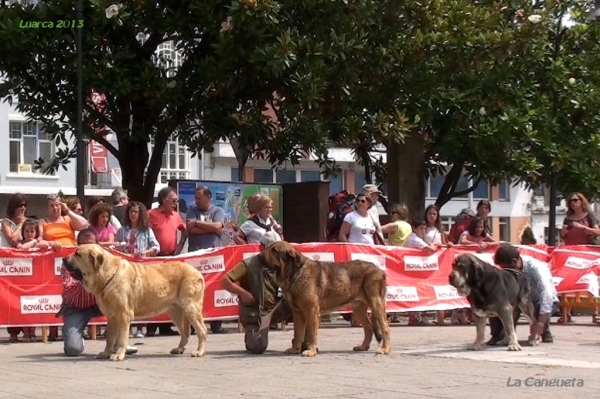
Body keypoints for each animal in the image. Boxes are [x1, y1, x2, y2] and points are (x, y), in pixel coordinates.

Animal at [260, 241, 392, 356]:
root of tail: (380, 270)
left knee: (385, 327)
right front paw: (294, 349)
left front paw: (311, 351)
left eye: (274, 250)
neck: (294, 273)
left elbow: (311, 333)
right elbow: (298, 333)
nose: (260, 254)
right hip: (358, 308)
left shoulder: (311, 311)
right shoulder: (298, 313)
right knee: (368, 328)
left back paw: (384, 349)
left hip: (375, 303)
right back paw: (363, 347)